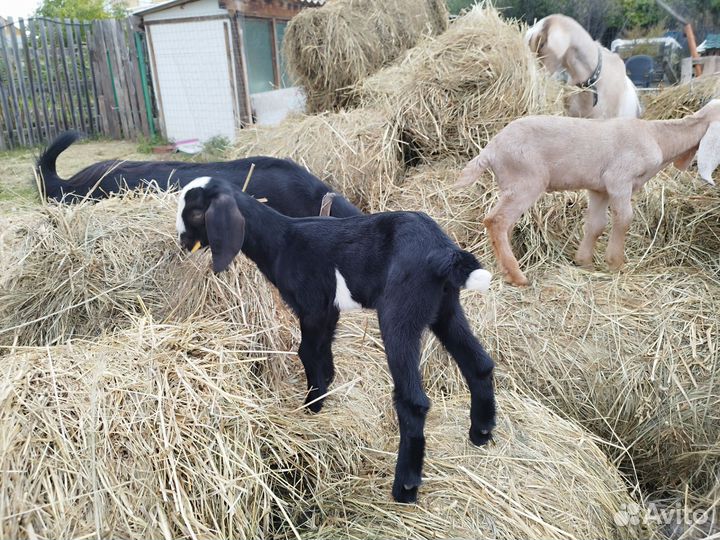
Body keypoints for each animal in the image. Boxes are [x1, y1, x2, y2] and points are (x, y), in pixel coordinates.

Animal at [176, 176, 496, 503]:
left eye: (196, 213)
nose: (183, 242)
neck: (281, 240)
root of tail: (444, 252)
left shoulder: (313, 307)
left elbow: (306, 352)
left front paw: (311, 406)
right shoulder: (328, 311)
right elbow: (322, 353)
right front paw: (323, 392)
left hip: (400, 314)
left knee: (413, 400)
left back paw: (405, 488)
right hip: (445, 308)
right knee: (479, 364)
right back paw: (480, 434)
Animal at [456, 100, 720, 286]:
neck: (657, 137)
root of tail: (490, 150)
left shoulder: (599, 189)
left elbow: (596, 225)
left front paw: (584, 262)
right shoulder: (619, 180)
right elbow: (624, 219)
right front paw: (616, 264)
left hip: (512, 185)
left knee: (505, 225)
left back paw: (507, 269)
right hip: (526, 180)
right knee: (497, 220)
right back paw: (518, 277)